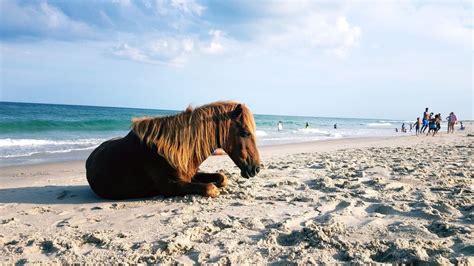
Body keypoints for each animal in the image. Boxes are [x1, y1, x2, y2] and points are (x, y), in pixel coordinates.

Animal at [86, 102, 262, 200]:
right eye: (246, 133)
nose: (256, 168)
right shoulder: (169, 186)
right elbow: (209, 187)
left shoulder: (192, 174)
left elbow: (221, 178)